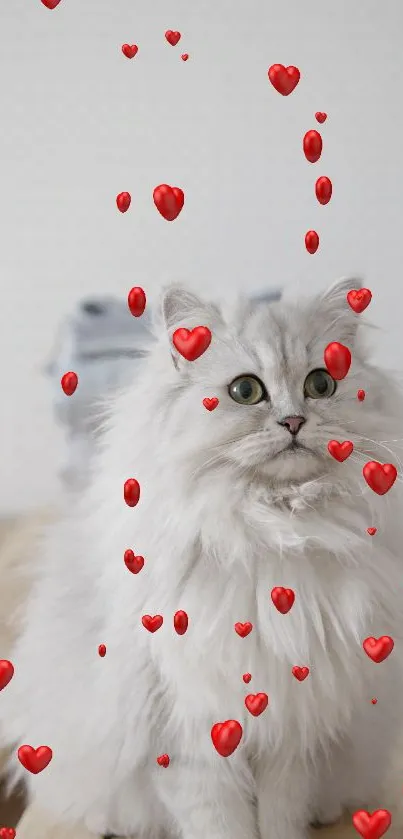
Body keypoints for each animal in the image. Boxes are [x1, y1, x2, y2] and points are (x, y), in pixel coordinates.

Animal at [2, 278, 403, 836]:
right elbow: (221, 823)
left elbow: (280, 817)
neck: (273, 530)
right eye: (245, 391)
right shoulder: (188, 738)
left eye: (321, 384)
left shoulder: (291, 728)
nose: (294, 421)